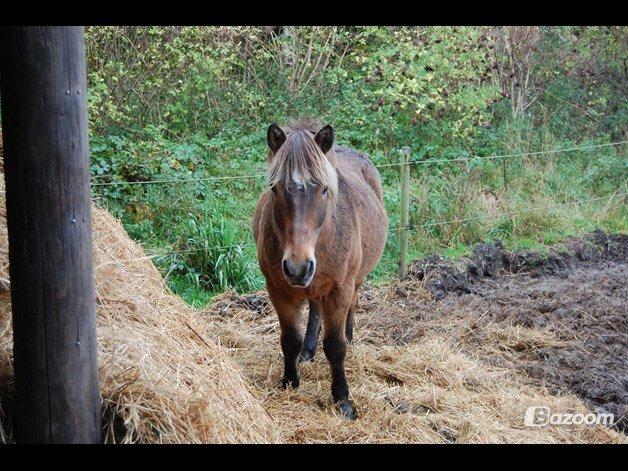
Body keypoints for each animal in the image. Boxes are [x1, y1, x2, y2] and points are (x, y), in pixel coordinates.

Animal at [251, 119, 388, 420]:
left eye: (324, 189)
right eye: (275, 189)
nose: (298, 268)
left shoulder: (339, 290)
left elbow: (335, 346)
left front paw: (343, 400)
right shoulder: (279, 291)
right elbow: (290, 339)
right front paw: (290, 381)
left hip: (354, 281)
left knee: (352, 306)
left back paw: (350, 336)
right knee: (315, 311)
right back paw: (308, 351)